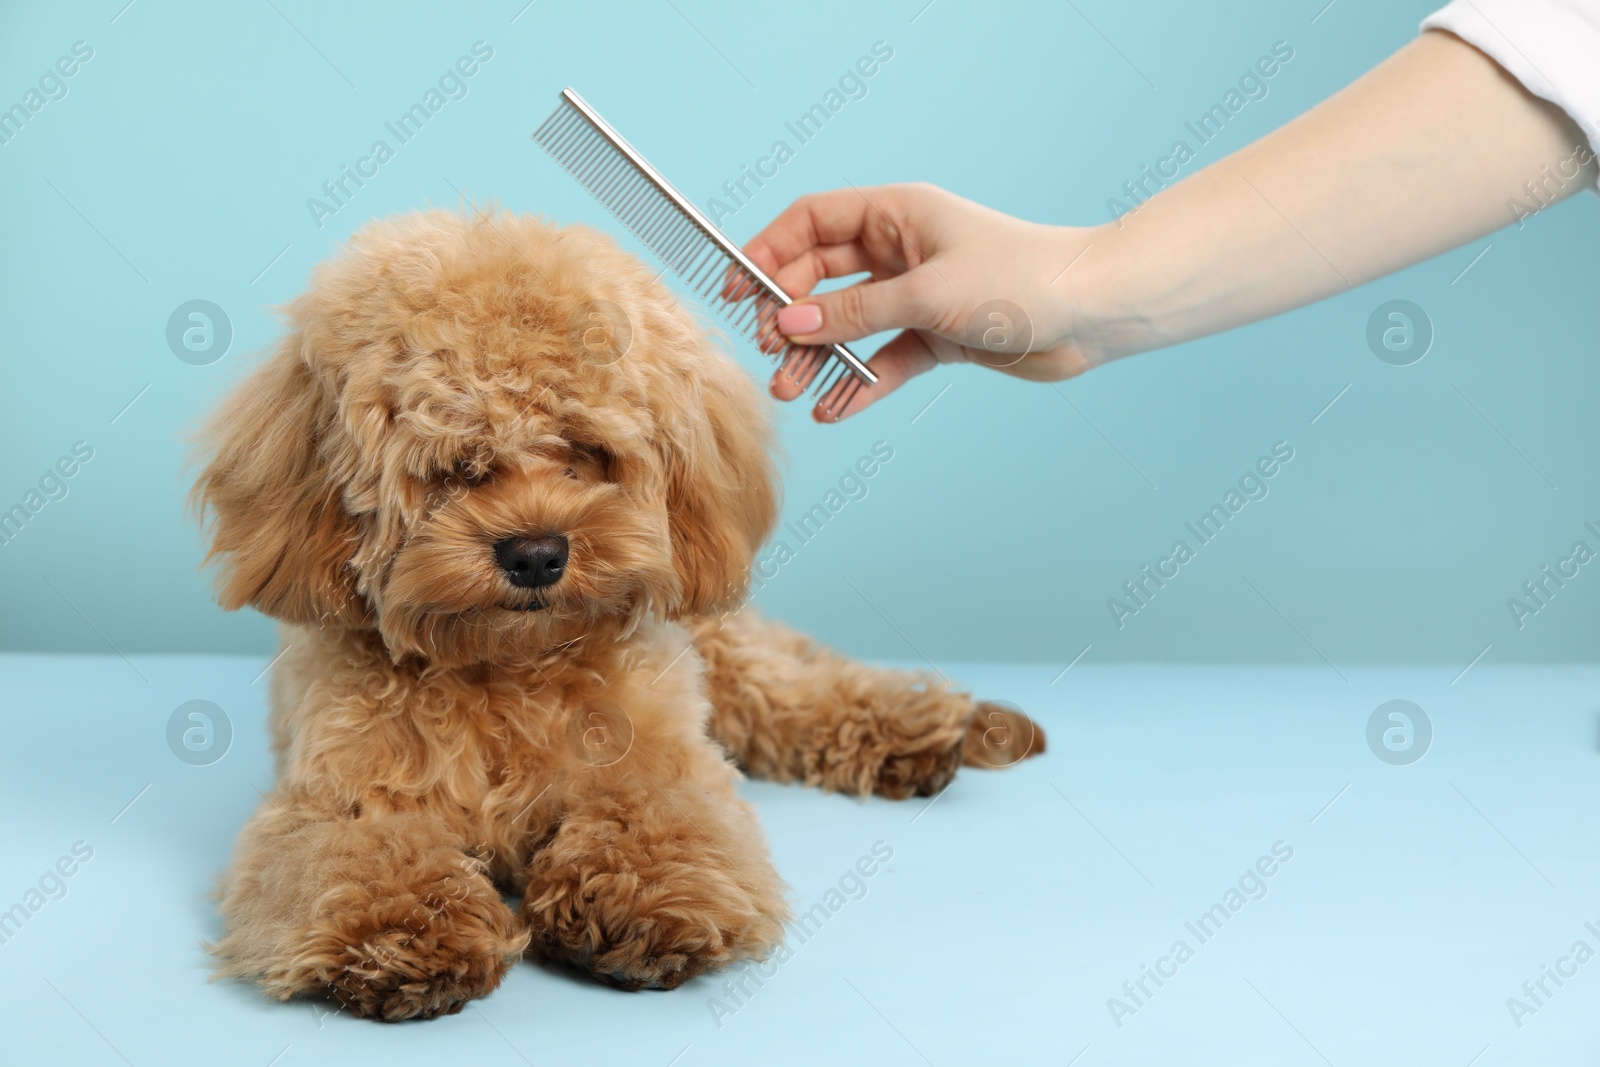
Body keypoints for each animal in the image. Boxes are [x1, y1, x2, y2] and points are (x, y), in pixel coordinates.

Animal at [193, 206, 1043, 1017]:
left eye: (586, 451)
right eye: (457, 465)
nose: (537, 553)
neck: (509, 668)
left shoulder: (662, 763)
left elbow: (653, 817)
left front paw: (646, 902)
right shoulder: (339, 801)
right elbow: (371, 855)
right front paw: (403, 934)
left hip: (723, 653)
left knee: (796, 688)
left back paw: (923, 727)